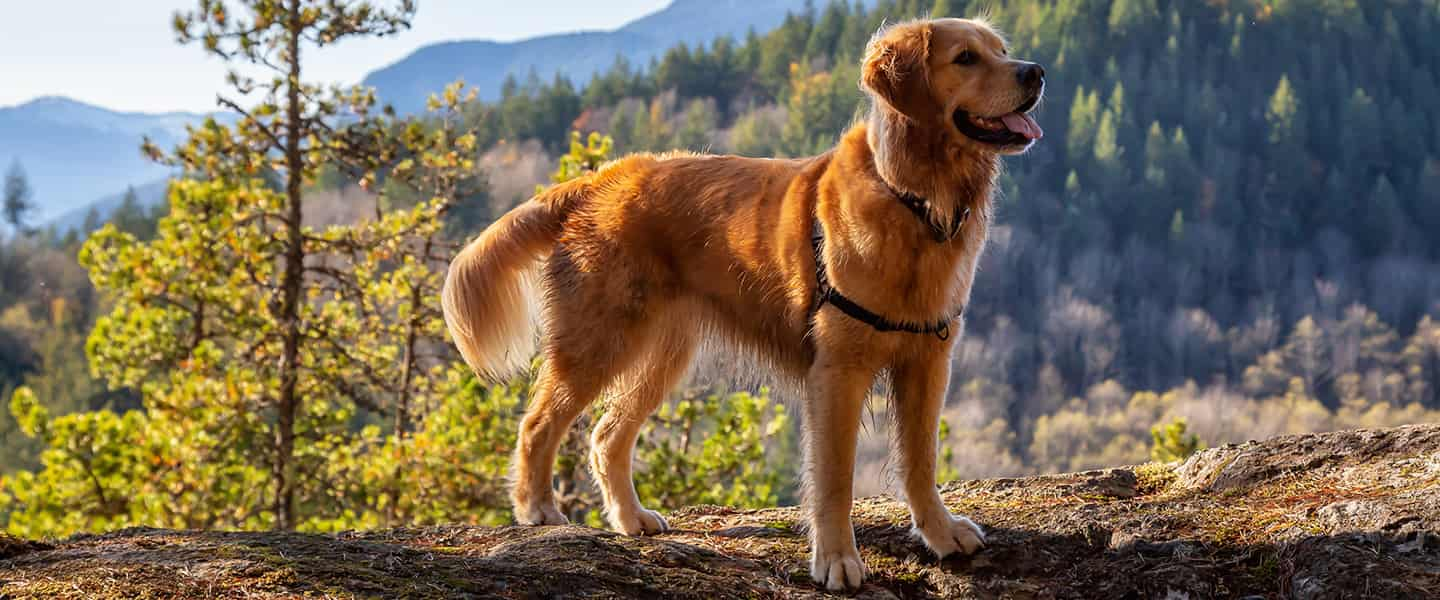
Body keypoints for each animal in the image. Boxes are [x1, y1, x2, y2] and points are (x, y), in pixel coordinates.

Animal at [443, 16, 1042, 587]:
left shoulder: (928, 359)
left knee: (605, 435)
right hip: (598, 342)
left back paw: (631, 518)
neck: (913, 198)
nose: (1035, 73)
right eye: (965, 58)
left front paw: (939, 533)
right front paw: (837, 559)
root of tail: (601, 180)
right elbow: (835, 477)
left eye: (1002, 51)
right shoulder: (838, 370)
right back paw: (537, 509)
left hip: (663, 354)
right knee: (537, 424)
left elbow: (921, 461)